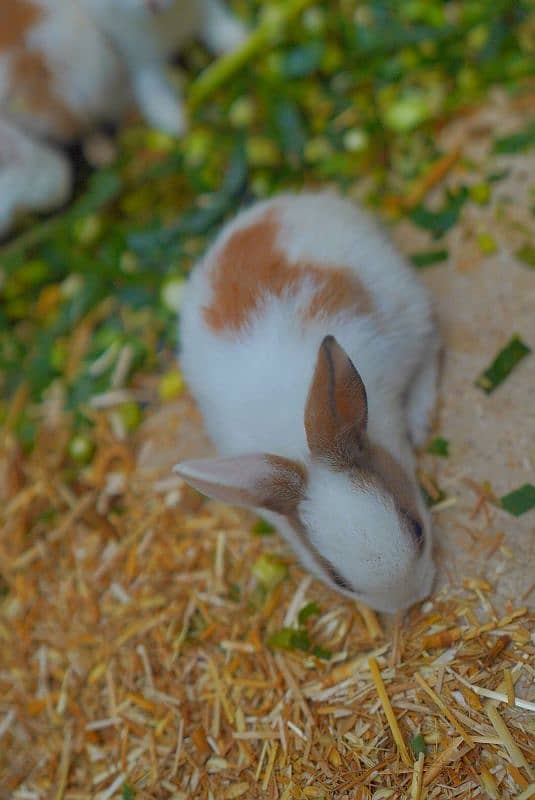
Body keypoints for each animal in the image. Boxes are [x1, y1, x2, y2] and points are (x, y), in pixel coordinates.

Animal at [0, 0, 247, 236]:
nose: (153, 4)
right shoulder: (138, 60)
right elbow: (154, 93)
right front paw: (178, 126)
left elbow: (217, 26)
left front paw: (240, 43)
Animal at [174, 192, 442, 612]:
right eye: (339, 580)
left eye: (418, 528)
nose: (413, 601)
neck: (298, 447)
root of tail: (288, 203)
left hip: (408, 312)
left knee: (432, 345)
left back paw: (419, 421)